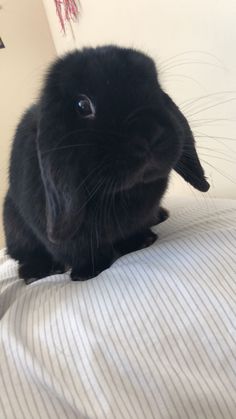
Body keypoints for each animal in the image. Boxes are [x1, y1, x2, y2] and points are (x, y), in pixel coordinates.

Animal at [3, 46, 210, 284]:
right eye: (82, 105)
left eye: (156, 87)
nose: (150, 134)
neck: (116, 193)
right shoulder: (66, 242)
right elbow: (82, 253)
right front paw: (85, 273)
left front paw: (142, 241)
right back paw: (36, 273)